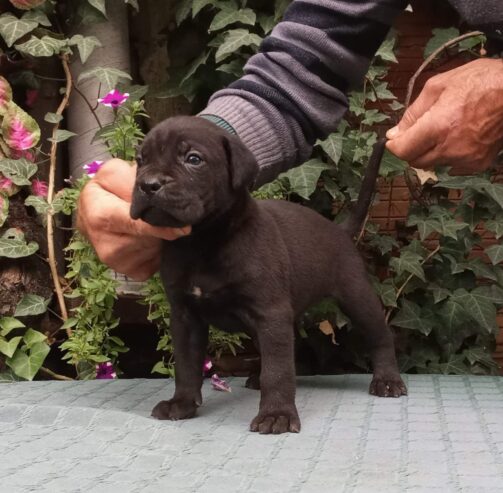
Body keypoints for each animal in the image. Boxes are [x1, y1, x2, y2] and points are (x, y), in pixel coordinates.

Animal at [132, 117, 408, 432]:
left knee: (380, 336)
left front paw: (277, 414)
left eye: (193, 159)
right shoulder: (185, 316)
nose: (148, 185)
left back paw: (387, 380)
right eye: (140, 160)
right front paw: (182, 403)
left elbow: (277, 370)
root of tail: (339, 230)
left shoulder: (270, 313)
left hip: (357, 295)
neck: (202, 240)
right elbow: (187, 365)